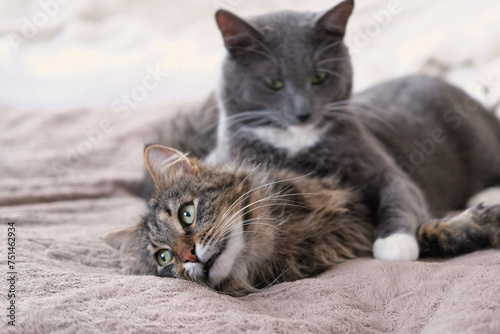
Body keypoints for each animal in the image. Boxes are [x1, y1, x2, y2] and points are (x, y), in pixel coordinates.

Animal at [200, 0, 500, 260]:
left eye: (319, 78)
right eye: (274, 83)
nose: (303, 113)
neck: (296, 144)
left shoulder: (383, 166)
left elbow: (401, 192)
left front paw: (395, 243)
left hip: (478, 140)